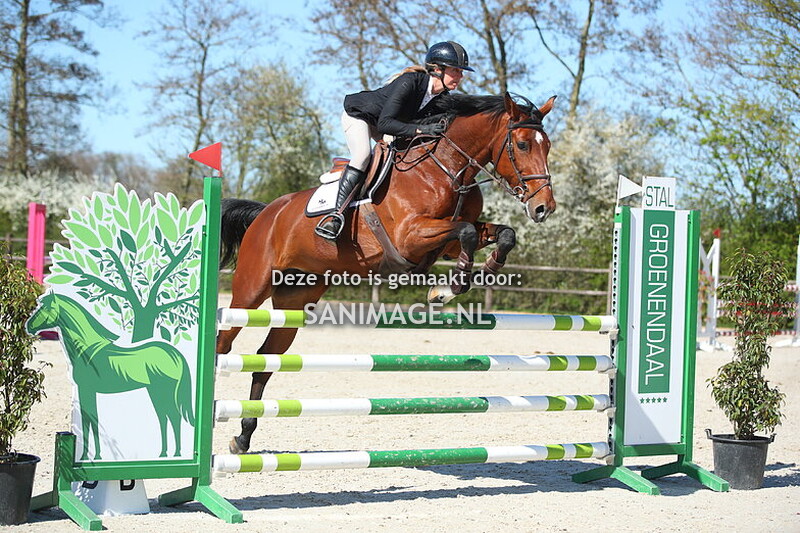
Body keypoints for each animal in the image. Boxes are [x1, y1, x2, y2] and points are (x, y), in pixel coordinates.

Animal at [26, 292, 195, 460]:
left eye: (45, 307)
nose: (28, 326)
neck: (86, 349)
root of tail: (175, 355)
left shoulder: (86, 390)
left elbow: (90, 420)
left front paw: (90, 456)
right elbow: (92, 420)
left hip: (161, 391)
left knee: (173, 417)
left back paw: (175, 453)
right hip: (154, 391)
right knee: (164, 417)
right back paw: (164, 453)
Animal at [217, 92, 557, 453]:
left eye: (547, 146)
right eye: (522, 144)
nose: (543, 208)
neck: (447, 168)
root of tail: (266, 212)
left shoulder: (445, 243)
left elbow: (502, 234)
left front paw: (482, 270)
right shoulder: (410, 236)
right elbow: (464, 231)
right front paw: (447, 289)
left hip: (295, 300)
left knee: (264, 362)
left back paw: (243, 436)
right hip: (251, 290)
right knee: (224, 342)